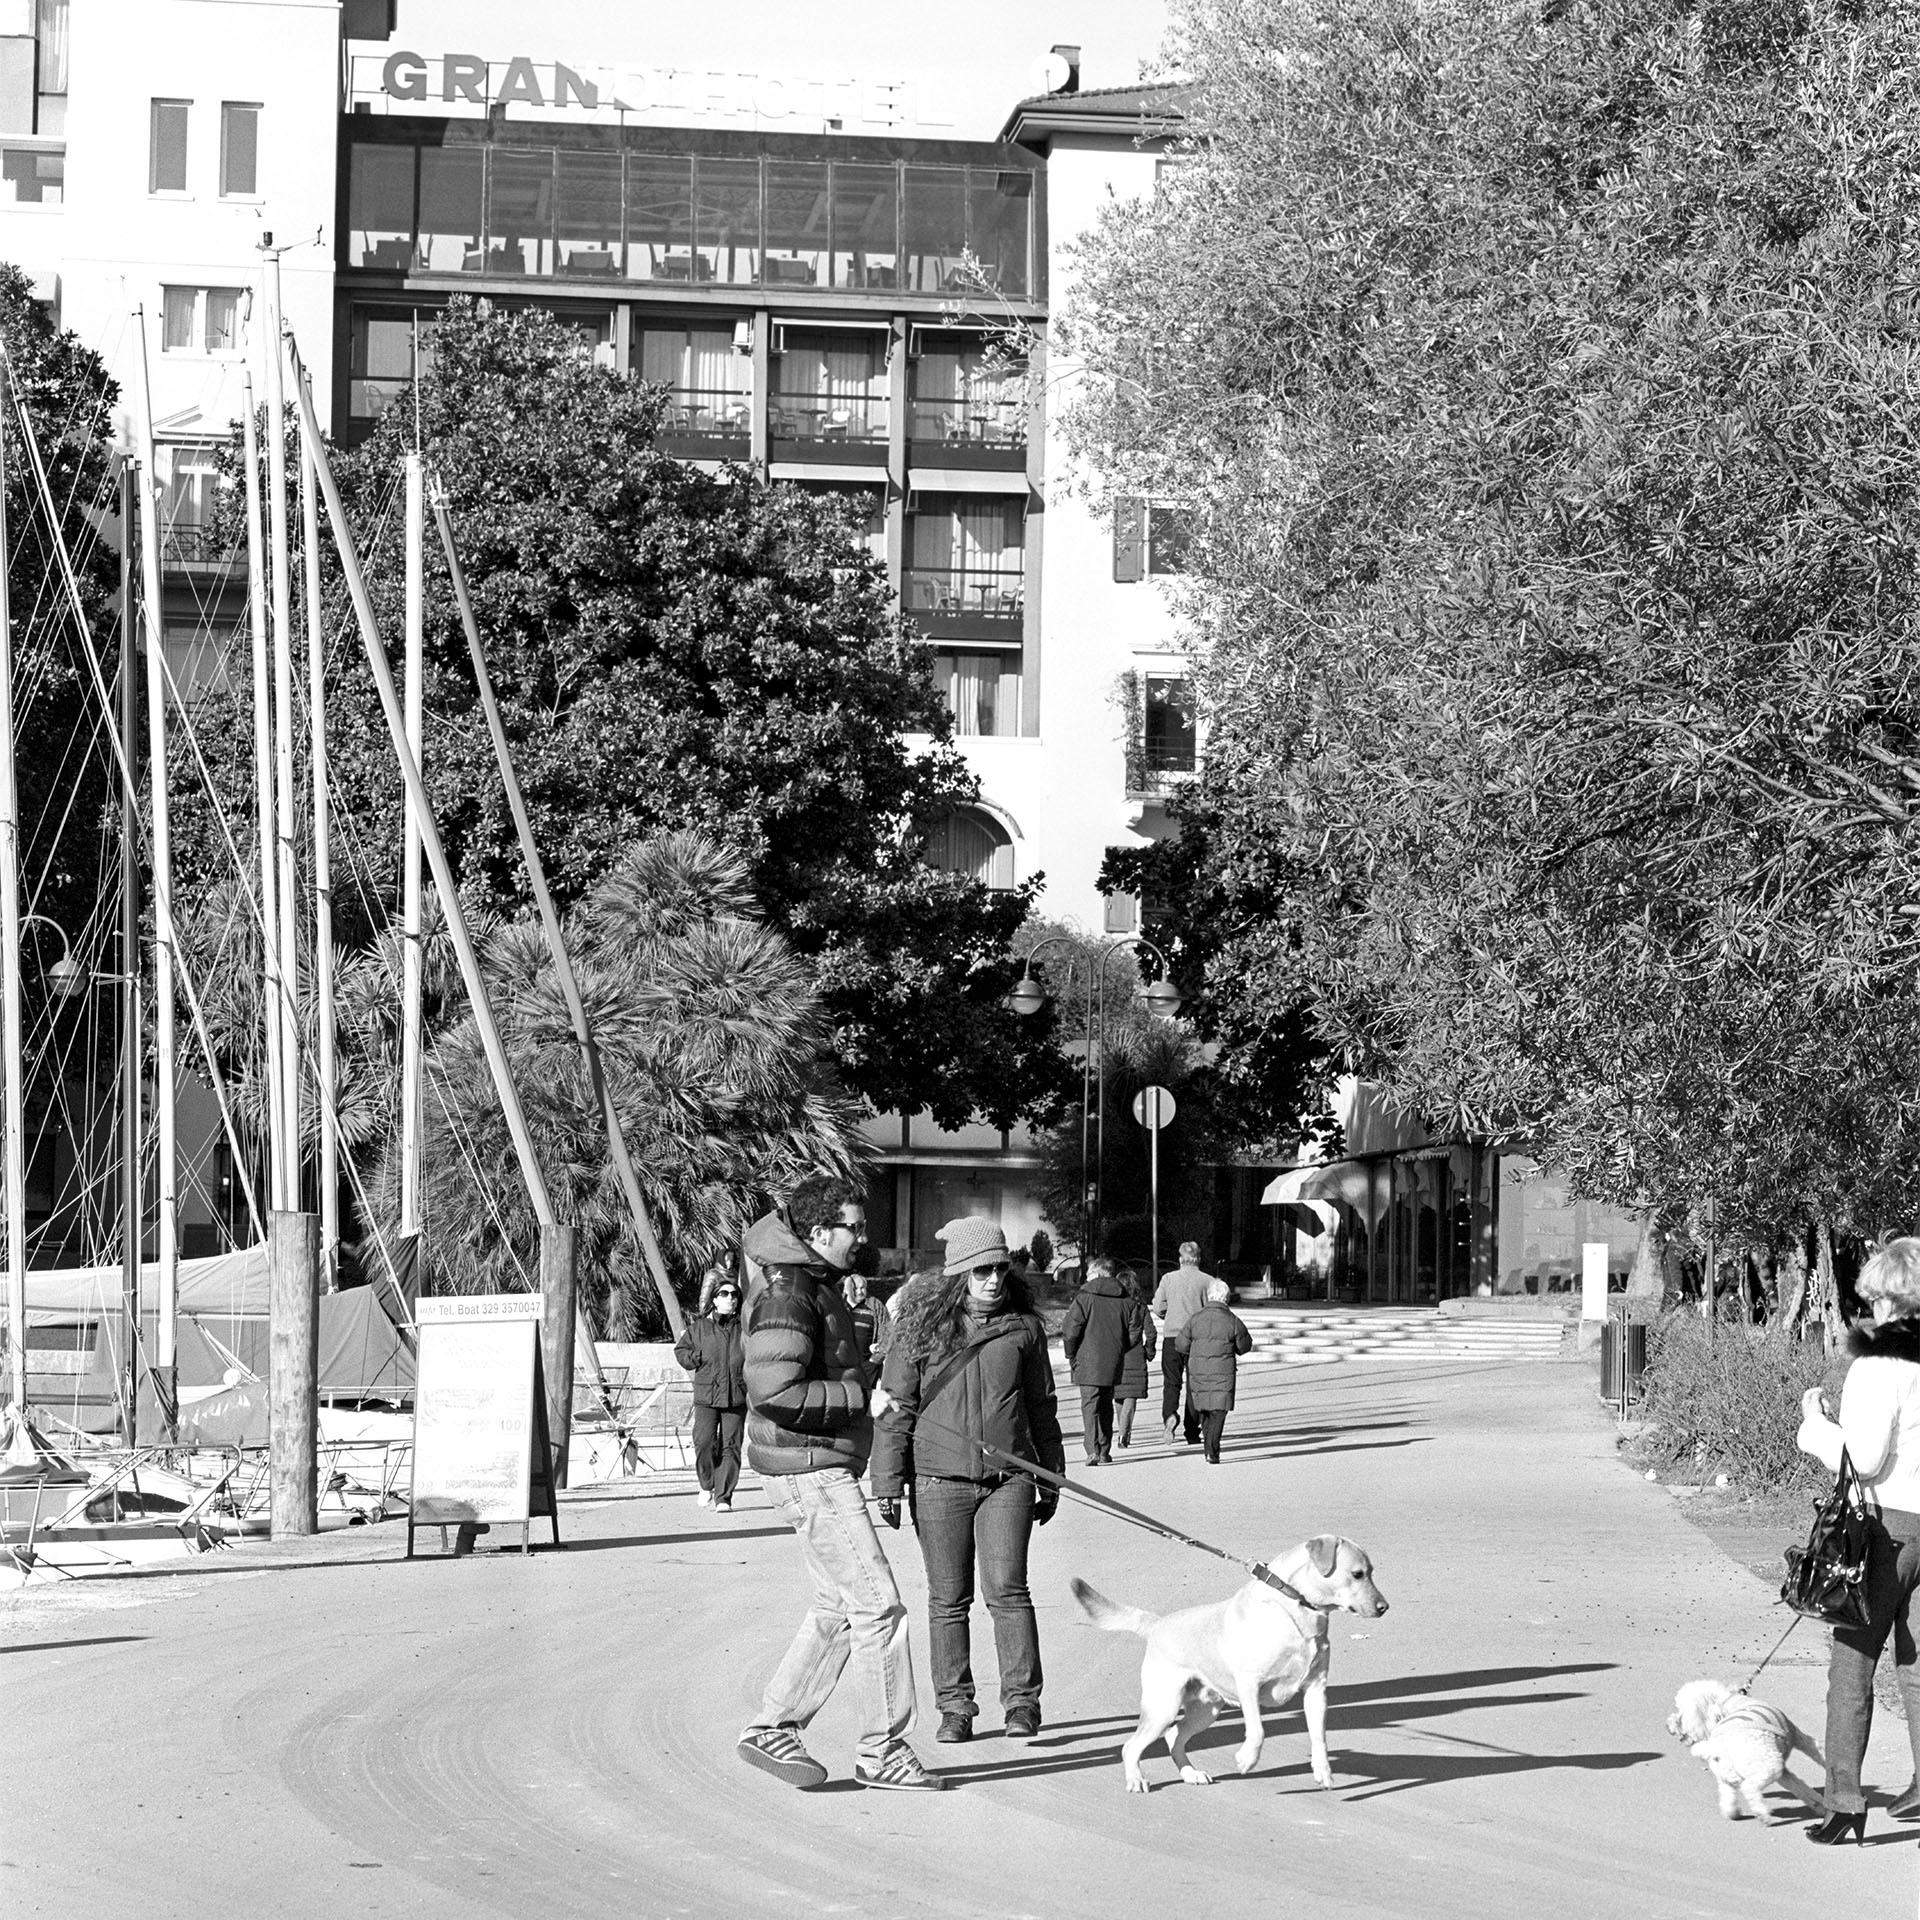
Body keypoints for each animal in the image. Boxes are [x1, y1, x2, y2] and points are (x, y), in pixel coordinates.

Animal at [1075, 1536, 1390, 1789]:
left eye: (1371, 1573)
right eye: (1358, 1574)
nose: (1384, 1608)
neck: (1294, 1607)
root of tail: (1158, 1624)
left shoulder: (1316, 1690)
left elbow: (1319, 1737)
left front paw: (1323, 1771)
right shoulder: (1249, 1683)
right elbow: (1258, 1730)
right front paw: (1247, 1759)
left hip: (1206, 1711)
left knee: (1174, 1736)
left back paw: (1190, 1773)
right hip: (1163, 1707)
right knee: (1131, 1746)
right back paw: (1136, 1779)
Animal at [1666, 1674, 1827, 1820]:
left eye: (1681, 1714)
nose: (1668, 1726)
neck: (1730, 1701)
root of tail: (1719, 1749)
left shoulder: (1784, 1773)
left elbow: (1799, 1787)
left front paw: (1818, 1804)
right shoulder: (1797, 1738)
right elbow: (1818, 1752)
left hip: (1728, 1777)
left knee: (1729, 1795)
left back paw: (1733, 1813)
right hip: (1769, 1767)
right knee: (1749, 1787)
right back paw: (1762, 1813)